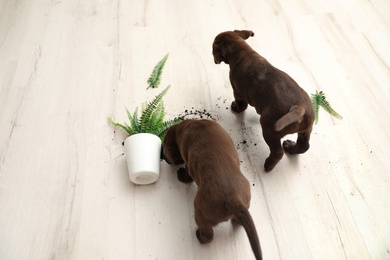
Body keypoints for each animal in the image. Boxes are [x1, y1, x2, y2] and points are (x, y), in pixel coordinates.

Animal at [161, 119, 262, 260]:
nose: (161, 156)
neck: (184, 127)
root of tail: (234, 199)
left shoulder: (188, 162)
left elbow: (187, 174)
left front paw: (181, 176)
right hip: (246, 203)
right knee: (238, 222)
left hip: (200, 212)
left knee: (208, 235)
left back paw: (199, 236)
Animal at [212, 30, 316, 171]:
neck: (243, 52)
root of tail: (300, 108)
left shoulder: (237, 92)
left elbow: (241, 105)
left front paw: (235, 108)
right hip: (305, 130)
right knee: (304, 146)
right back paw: (290, 147)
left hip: (269, 129)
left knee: (277, 152)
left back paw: (269, 165)